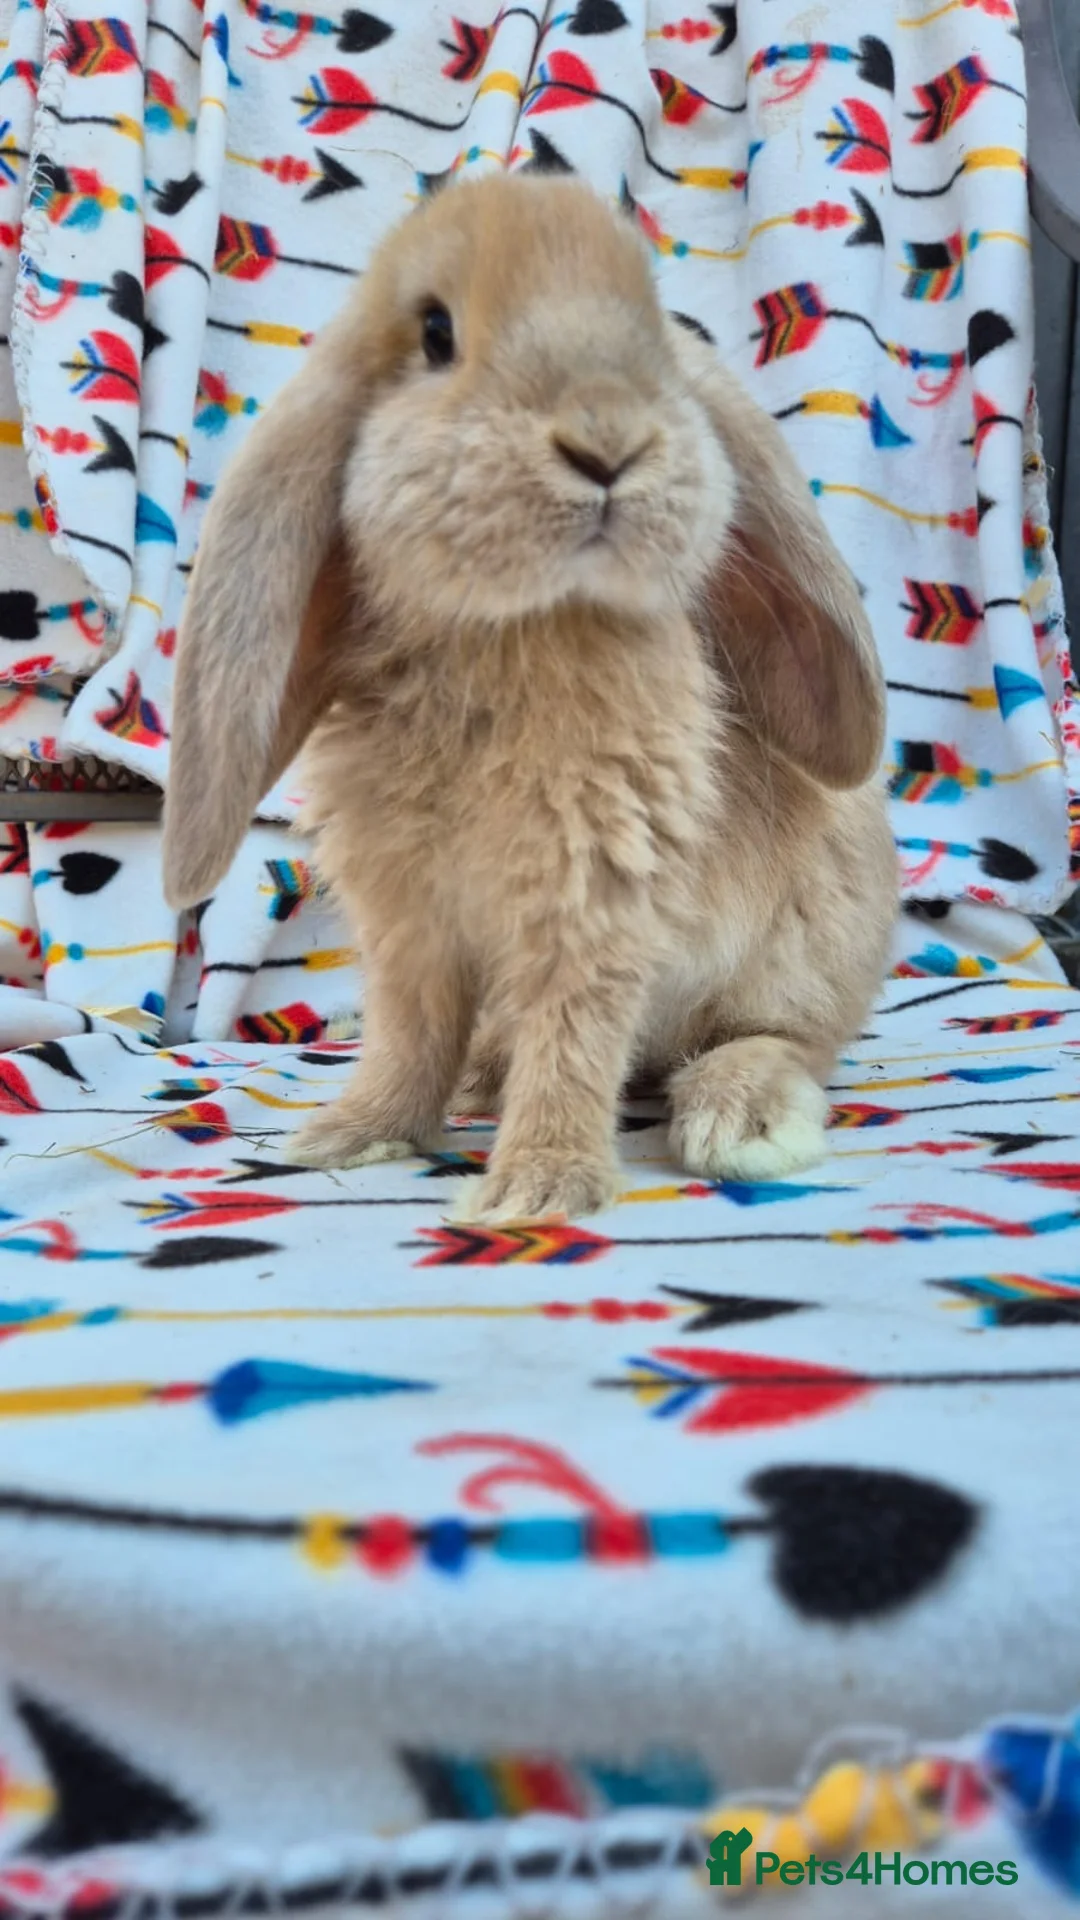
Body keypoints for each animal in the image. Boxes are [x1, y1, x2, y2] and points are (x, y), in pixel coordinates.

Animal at [163, 170, 898, 1224]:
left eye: (655, 327)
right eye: (435, 333)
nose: (607, 440)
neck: (515, 626)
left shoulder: (594, 897)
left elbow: (573, 1036)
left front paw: (534, 1192)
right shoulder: (410, 923)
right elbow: (411, 1032)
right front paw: (356, 1132)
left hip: (796, 955)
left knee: (782, 1040)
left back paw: (741, 1120)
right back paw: (481, 1077)